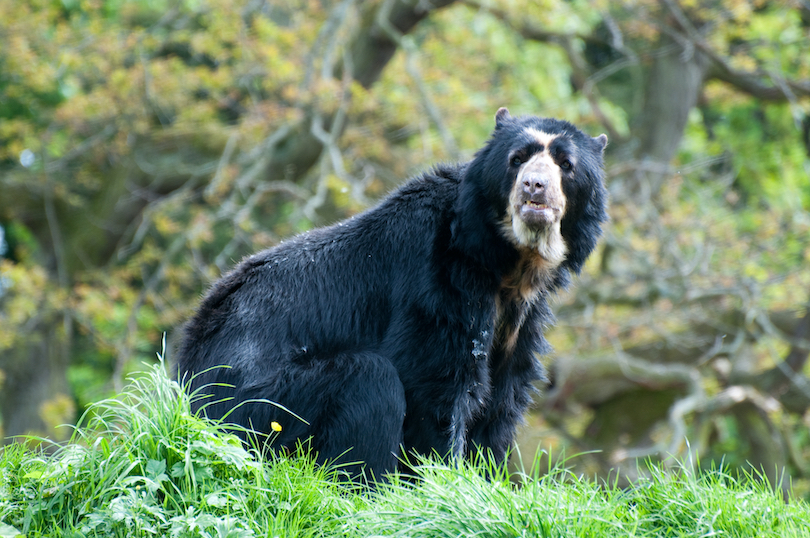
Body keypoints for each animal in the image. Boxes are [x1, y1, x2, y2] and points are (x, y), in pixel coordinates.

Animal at [177, 108, 608, 478]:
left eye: (565, 165)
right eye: (517, 159)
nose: (535, 187)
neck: (509, 262)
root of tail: (187, 378)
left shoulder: (522, 318)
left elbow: (502, 401)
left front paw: (486, 481)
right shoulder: (435, 283)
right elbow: (435, 386)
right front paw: (441, 484)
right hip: (256, 408)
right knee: (370, 380)